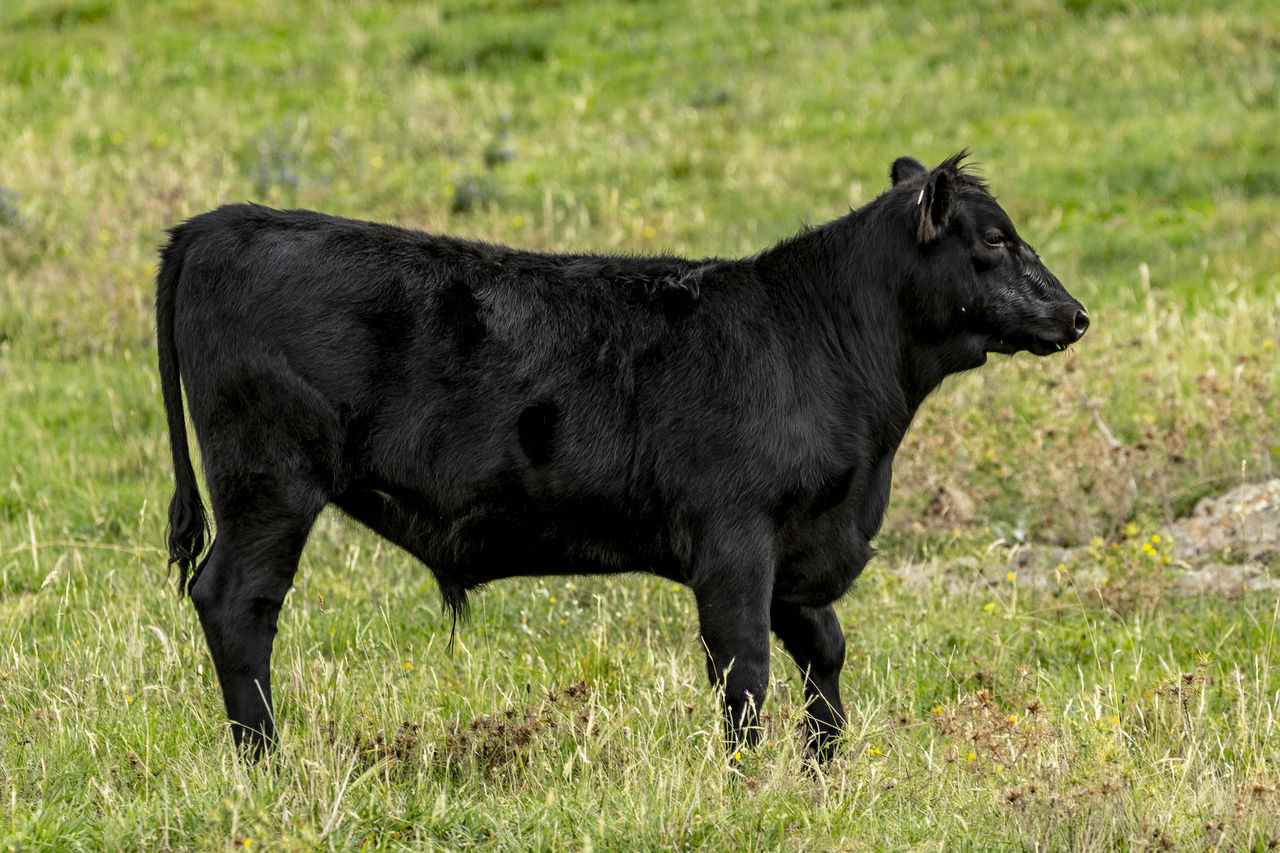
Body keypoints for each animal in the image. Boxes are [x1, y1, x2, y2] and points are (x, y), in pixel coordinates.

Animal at [154, 151, 1085, 758]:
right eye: (994, 239)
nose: (1075, 314)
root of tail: (226, 220)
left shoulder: (798, 548)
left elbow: (823, 648)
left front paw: (825, 764)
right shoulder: (734, 542)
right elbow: (743, 670)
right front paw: (747, 782)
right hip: (269, 483)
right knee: (237, 602)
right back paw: (265, 760)